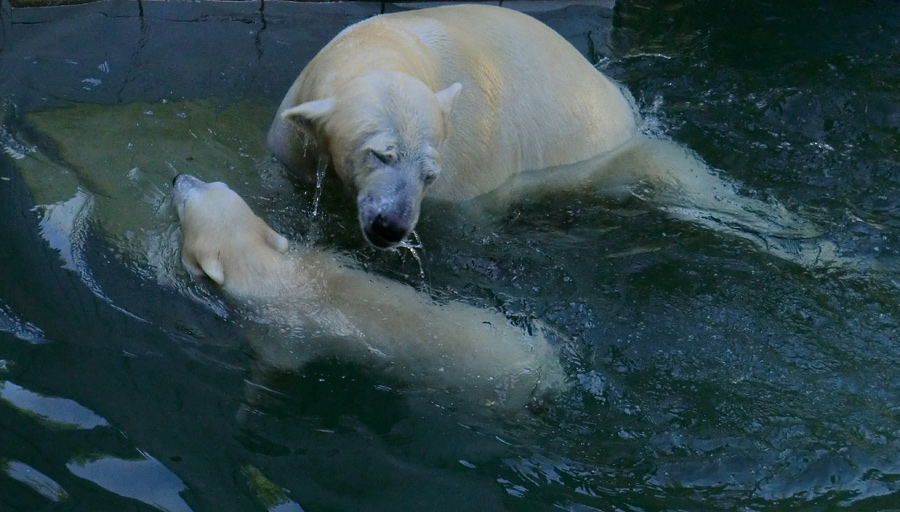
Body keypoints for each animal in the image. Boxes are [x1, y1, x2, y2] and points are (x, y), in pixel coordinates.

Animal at [172, 175, 568, 408]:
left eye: (186, 200)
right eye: (215, 183)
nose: (179, 177)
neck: (271, 274)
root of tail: (547, 371)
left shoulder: (283, 335)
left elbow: (272, 369)